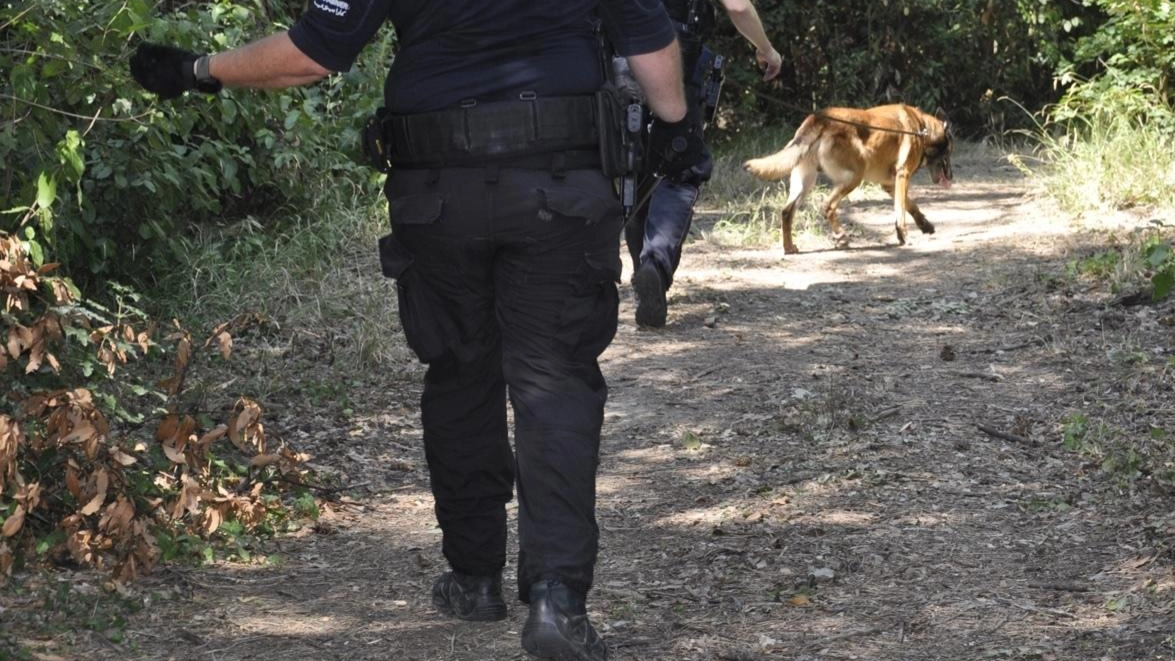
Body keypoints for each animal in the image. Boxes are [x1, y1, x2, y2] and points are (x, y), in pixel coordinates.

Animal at [742, 103, 954, 253]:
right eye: (950, 152)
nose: (951, 177)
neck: (922, 129)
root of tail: (818, 118)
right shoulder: (902, 176)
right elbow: (901, 212)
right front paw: (905, 236)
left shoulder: (890, 185)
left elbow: (911, 206)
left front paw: (924, 226)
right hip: (853, 178)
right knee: (827, 206)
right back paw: (841, 236)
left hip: (805, 182)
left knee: (787, 212)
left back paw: (789, 248)